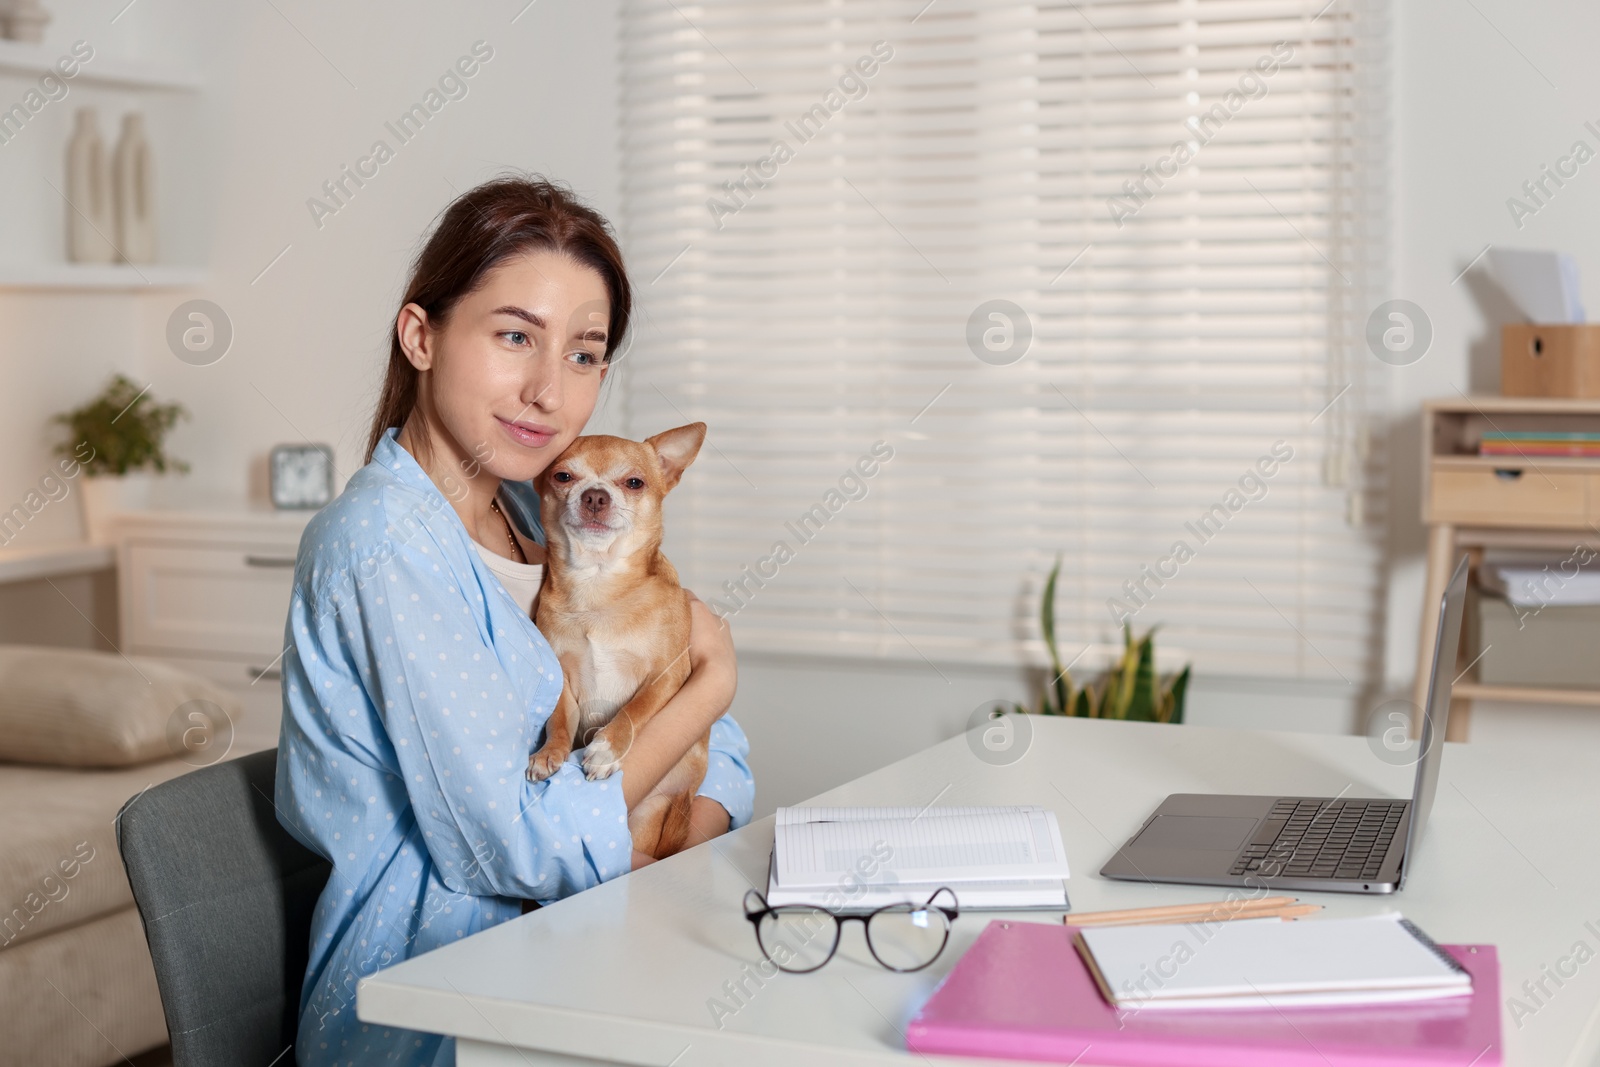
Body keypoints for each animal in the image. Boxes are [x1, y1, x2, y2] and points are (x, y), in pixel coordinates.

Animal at [528, 422, 710, 857]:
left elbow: (635, 708)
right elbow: (559, 719)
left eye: (634, 483)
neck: (599, 583)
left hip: (650, 816)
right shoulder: (565, 680)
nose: (595, 495)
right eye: (563, 476)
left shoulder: (667, 674)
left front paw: (607, 749)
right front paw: (549, 752)